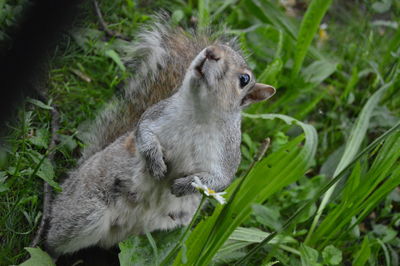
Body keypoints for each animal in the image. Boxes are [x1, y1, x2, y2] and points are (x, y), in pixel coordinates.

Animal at [43, 15, 276, 258]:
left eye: (244, 79)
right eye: (211, 47)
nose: (211, 52)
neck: (198, 112)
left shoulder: (226, 155)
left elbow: (219, 179)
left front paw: (184, 185)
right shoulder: (155, 116)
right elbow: (143, 134)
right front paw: (155, 162)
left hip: (169, 235)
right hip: (86, 211)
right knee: (56, 239)